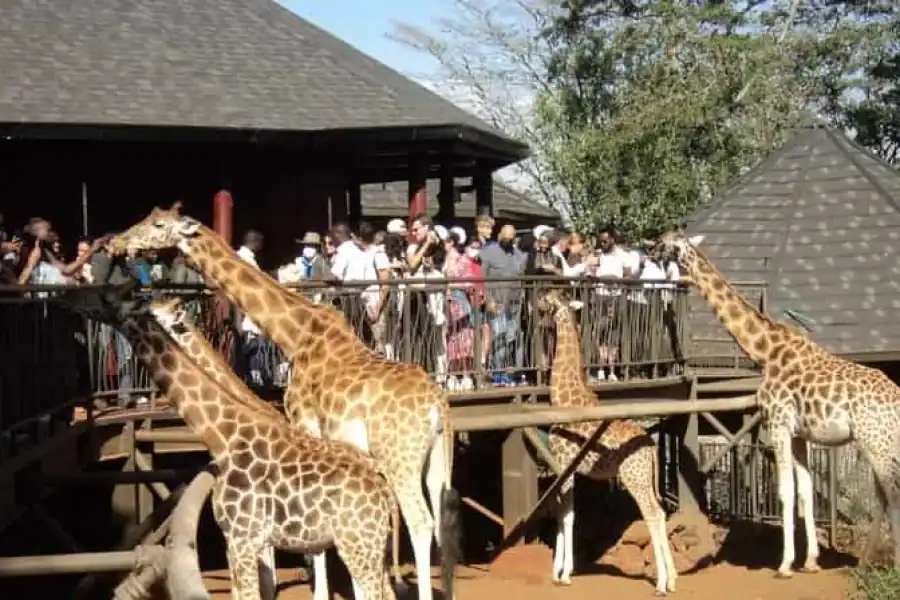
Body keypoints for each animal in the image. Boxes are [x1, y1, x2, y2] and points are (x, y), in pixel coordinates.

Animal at [63, 288, 397, 600]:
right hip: (366, 545)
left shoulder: (242, 537)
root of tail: (383, 489)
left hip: (358, 544)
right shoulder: (243, 539)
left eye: (106, 298)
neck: (224, 435)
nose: (74, 300)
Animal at [107, 203, 460, 600]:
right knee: (439, 522)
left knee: (419, 522)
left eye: (157, 225)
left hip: (399, 457)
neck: (295, 333)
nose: (117, 243)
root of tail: (437, 404)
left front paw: (319, 592)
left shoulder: (304, 421)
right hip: (436, 459)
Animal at [535, 286, 677, 595]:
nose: (536, 303)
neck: (562, 398)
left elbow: (567, 516)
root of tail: (651, 448)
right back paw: (673, 579)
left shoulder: (564, 465)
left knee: (652, 514)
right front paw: (559, 571)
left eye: (548, 297)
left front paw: (564, 573)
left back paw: (661, 583)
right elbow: (565, 515)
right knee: (660, 512)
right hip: (646, 477)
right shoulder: (567, 469)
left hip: (633, 477)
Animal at [656, 231, 900, 575]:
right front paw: (810, 561)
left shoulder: (777, 423)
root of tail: (896, 397)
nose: (651, 248)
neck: (765, 352)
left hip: (873, 440)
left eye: (668, 244)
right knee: (883, 494)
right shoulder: (799, 434)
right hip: (881, 442)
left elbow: (786, 492)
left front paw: (784, 564)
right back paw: (866, 563)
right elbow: (806, 493)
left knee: (891, 494)